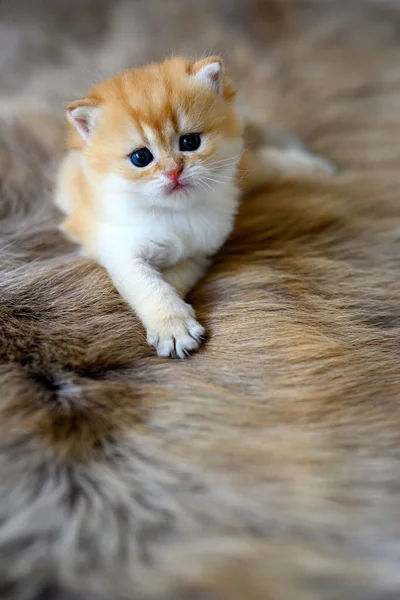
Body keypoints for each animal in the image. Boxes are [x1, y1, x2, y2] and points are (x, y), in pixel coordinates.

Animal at [54, 56, 332, 358]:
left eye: (190, 142)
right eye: (141, 158)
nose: (174, 171)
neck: (176, 212)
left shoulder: (199, 251)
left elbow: (174, 278)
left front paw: (176, 315)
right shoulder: (121, 250)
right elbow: (151, 287)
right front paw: (172, 326)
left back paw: (316, 167)